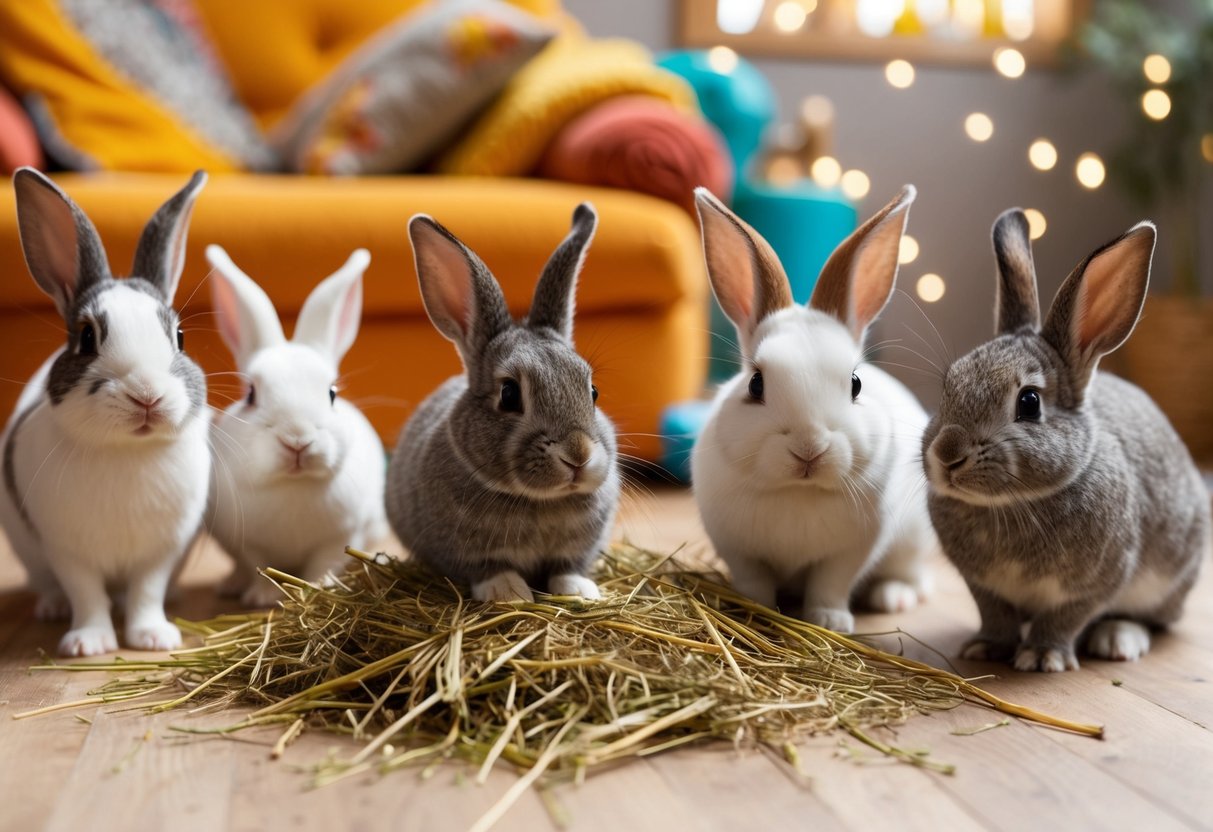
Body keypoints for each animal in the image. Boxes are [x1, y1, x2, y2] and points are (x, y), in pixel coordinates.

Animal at [0, 166, 211, 654]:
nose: (147, 395)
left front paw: (153, 637)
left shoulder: (161, 551)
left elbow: (147, 592)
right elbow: (87, 593)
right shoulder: (67, 550)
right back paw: (52, 607)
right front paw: (88, 644)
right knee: (51, 584)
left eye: (180, 337)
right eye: (86, 337)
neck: (126, 452)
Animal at [204, 242, 388, 606]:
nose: (298, 440)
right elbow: (257, 565)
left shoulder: (339, 537)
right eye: (250, 394)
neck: (292, 484)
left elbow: (324, 563)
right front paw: (260, 597)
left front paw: (321, 587)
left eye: (331, 393)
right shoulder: (249, 545)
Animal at [385, 202, 621, 606]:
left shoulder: (577, 549)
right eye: (509, 394)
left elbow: (568, 567)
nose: (577, 456)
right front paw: (509, 593)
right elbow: (489, 569)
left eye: (593, 391)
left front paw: (579, 591)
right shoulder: (465, 552)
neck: (541, 501)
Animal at [693, 187, 936, 630]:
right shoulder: (738, 550)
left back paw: (892, 597)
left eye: (856, 383)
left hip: (912, 542)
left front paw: (830, 621)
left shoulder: (849, 553)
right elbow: (754, 582)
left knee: (914, 576)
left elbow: (830, 584)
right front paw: (752, 607)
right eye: (756, 383)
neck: (798, 491)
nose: (809, 448)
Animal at [921, 212, 1208, 674]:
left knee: (1152, 620)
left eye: (1029, 402)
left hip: (1171, 580)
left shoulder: (1099, 581)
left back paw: (1117, 639)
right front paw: (985, 647)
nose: (947, 455)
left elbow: (1066, 617)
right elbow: (995, 615)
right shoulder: (983, 588)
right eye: (949, 385)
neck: (1011, 505)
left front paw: (1042, 657)